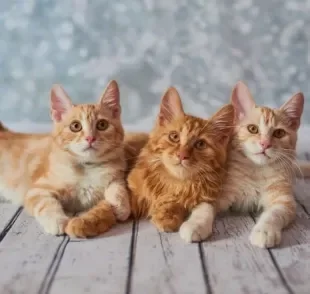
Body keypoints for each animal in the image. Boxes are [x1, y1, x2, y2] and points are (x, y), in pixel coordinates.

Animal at [0, 81, 133, 238]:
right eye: (75, 126)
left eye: (102, 124)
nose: (90, 138)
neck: (88, 167)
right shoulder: (37, 190)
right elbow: (46, 204)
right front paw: (57, 221)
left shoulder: (117, 174)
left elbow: (118, 186)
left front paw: (121, 206)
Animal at [189, 82, 302, 248]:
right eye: (253, 129)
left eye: (279, 133)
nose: (265, 144)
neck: (257, 170)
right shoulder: (216, 189)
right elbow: (204, 206)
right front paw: (195, 225)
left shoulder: (284, 201)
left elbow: (274, 214)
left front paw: (264, 231)